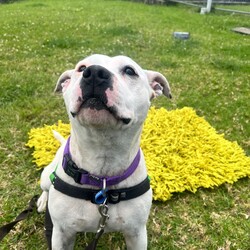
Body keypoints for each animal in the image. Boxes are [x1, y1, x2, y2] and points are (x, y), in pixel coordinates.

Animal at [36, 55, 171, 250]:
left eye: (129, 70)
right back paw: (42, 200)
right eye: (81, 68)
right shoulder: (62, 233)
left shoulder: (137, 233)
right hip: (47, 176)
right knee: (45, 187)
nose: (94, 73)